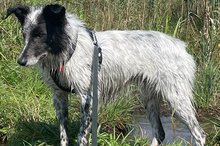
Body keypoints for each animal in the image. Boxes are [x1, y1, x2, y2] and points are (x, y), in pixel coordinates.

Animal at [5, 4, 205, 146]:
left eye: (40, 34)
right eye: (24, 34)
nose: (20, 61)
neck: (68, 50)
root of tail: (181, 46)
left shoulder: (87, 98)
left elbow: (81, 136)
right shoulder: (59, 96)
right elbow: (63, 135)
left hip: (176, 98)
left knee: (199, 134)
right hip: (149, 98)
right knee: (160, 133)